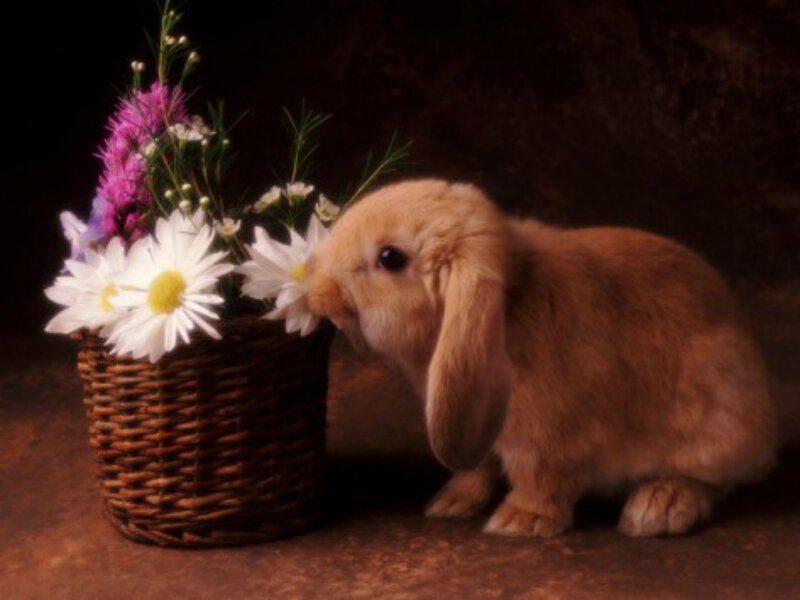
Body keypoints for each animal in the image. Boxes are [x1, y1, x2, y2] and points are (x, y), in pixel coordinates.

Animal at [302, 179, 778, 538]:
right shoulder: (473, 421)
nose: (313, 287)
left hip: (715, 419)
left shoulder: (549, 441)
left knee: (718, 480)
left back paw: (657, 508)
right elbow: (478, 465)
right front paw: (450, 501)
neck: (510, 304)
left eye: (390, 258)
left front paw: (519, 521)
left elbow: (542, 478)